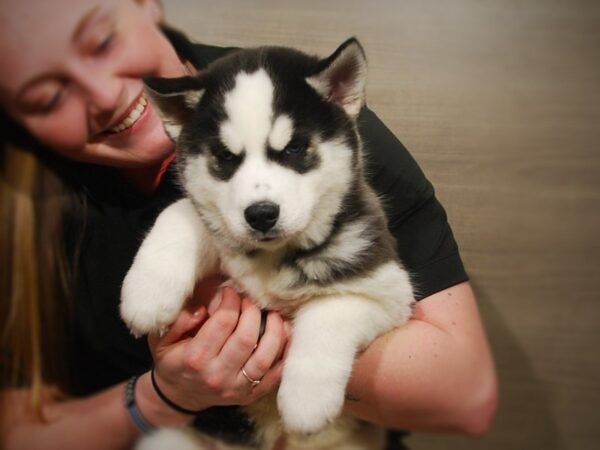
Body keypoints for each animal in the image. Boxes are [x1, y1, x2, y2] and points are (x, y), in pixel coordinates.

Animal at [120, 39, 414, 450]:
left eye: (294, 149)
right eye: (226, 157)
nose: (260, 215)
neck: (271, 257)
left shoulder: (387, 292)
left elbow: (329, 312)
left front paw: (306, 402)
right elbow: (179, 212)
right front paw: (146, 296)